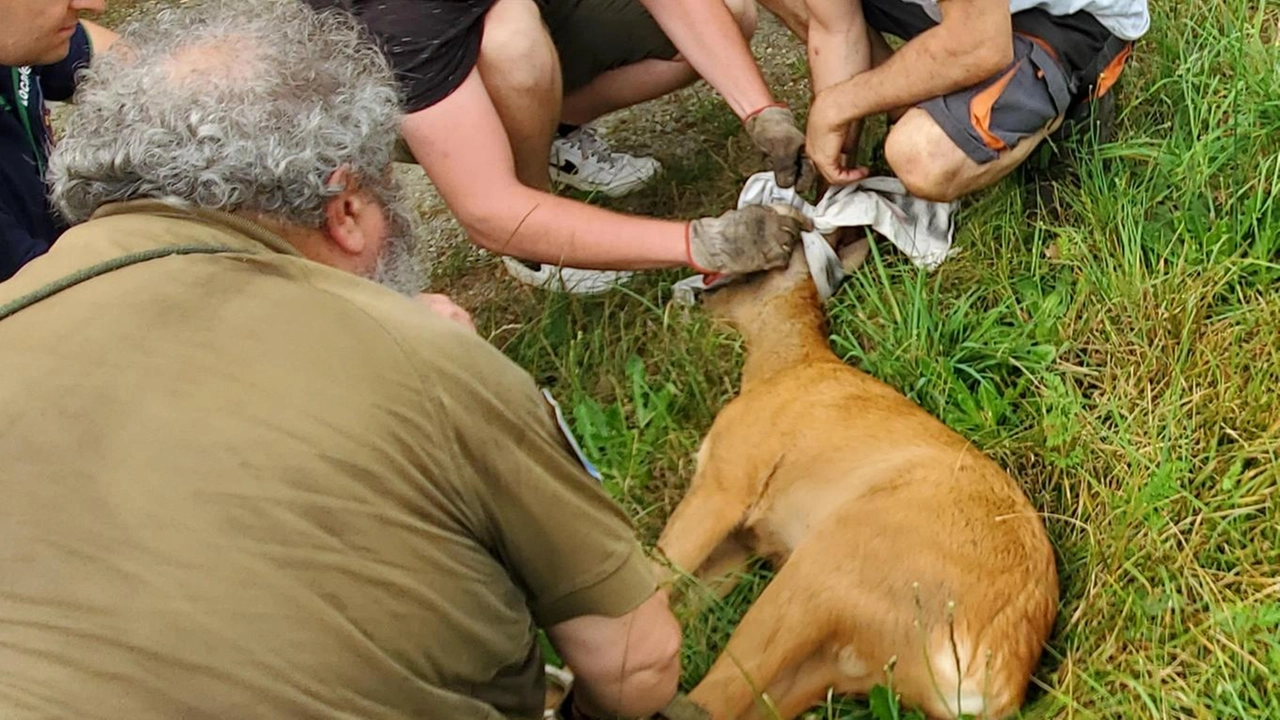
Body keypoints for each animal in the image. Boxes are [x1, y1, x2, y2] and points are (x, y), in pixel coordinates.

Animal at [655, 230, 1054, 717]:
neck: (782, 365)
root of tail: (994, 679)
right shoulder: (745, 543)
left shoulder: (727, 480)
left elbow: (654, 576)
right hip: (846, 664)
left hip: (831, 563)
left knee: (717, 695)